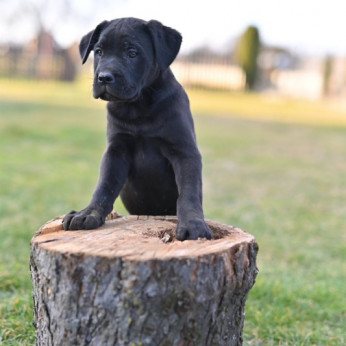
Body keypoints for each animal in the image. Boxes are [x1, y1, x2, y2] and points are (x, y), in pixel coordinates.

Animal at [63, 17, 212, 241]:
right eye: (99, 51)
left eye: (132, 53)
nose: (104, 77)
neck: (138, 107)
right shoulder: (116, 150)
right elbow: (104, 186)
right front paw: (87, 213)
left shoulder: (185, 151)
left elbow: (188, 192)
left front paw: (193, 224)